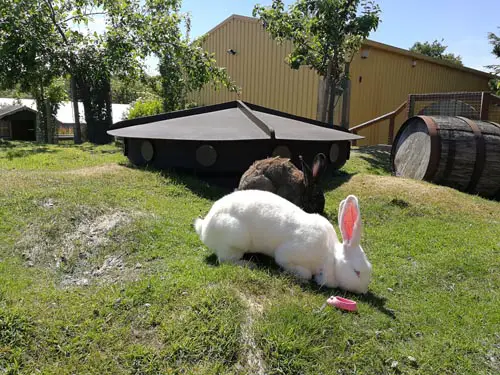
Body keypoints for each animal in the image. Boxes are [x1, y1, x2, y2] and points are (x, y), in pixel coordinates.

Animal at [193, 191, 374, 294]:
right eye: (357, 272)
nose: (364, 290)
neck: (331, 256)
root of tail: (204, 227)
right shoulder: (286, 255)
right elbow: (301, 270)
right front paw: (301, 276)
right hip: (236, 241)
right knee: (225, 260)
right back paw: (249, 264)